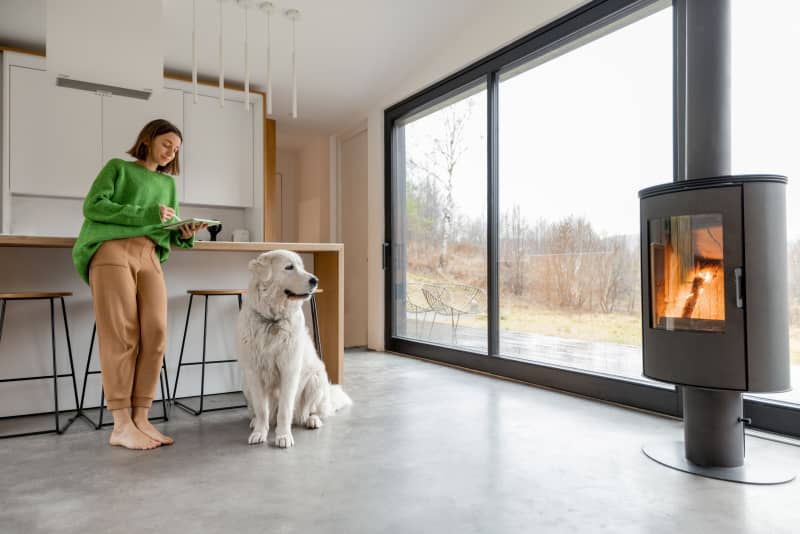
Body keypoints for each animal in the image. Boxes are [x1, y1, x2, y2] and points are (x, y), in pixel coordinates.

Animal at [236, 250, 352, 448]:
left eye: (302, 267)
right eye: (289, 267)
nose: (315, 280)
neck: (273, 319)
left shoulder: (289, 370)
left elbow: (284, 410)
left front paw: (283, 437)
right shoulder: (253, 372)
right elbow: (261, 409)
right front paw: (259, 432)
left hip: (316, 379)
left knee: (312, 412)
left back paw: (312, 420)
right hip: (246, 385)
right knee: (263, 413)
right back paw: (255, 422)